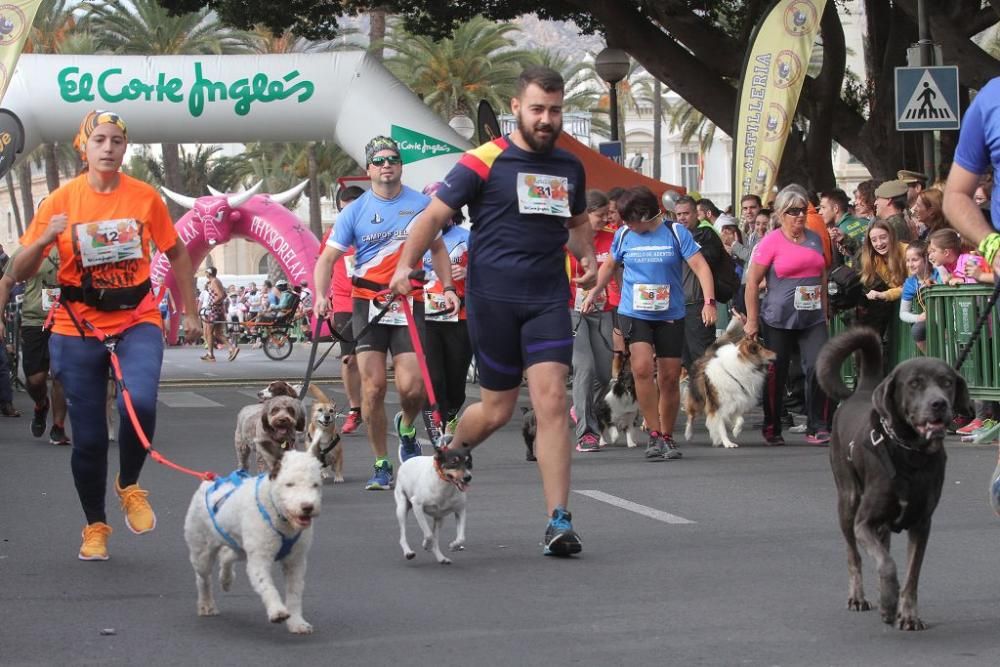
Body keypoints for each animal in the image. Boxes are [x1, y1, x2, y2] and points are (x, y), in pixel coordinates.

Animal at [184, 446, 324, 636]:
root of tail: (207, 483)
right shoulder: (259, 559)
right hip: (202, 551)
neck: (279, 516)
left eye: (315, 485)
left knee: (227, 555)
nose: (308, 507)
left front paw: (297, 622)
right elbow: (267, 586)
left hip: (241, 547)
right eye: (289, 484)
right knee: (203, 578)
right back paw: (206, 604)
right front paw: (277, 611)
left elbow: (294, 593)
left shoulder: (296, 561)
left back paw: (226, 580)